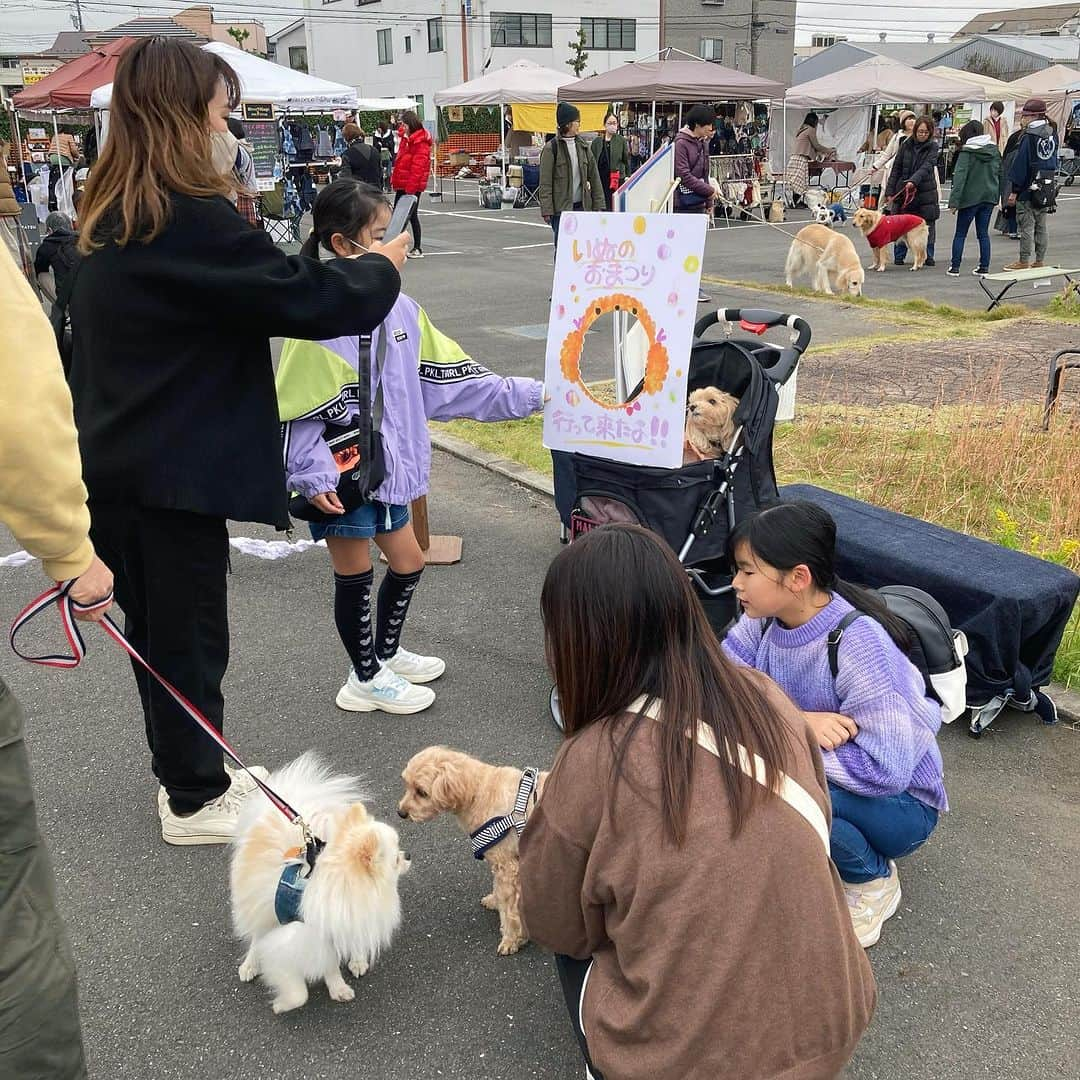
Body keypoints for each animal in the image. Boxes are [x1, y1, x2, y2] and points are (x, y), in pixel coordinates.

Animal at [230, 751, 410, 1010]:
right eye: (395, 859)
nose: (408, 856)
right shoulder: (297, 937)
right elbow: (298, 988)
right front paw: (283, 1003)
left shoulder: (328, 934)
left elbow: (330, 965)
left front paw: (338, 988)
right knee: (256, 931)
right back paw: (250, 963)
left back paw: (357, 959)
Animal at [399, 747, 548, 959]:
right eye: (407, 785)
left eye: (421, 792)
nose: (401, 812)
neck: (478, 792)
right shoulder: (504, 864)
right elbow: (499, 892)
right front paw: (494, 901)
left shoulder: (508, 867)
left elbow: (510, 910)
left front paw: (511, 939)